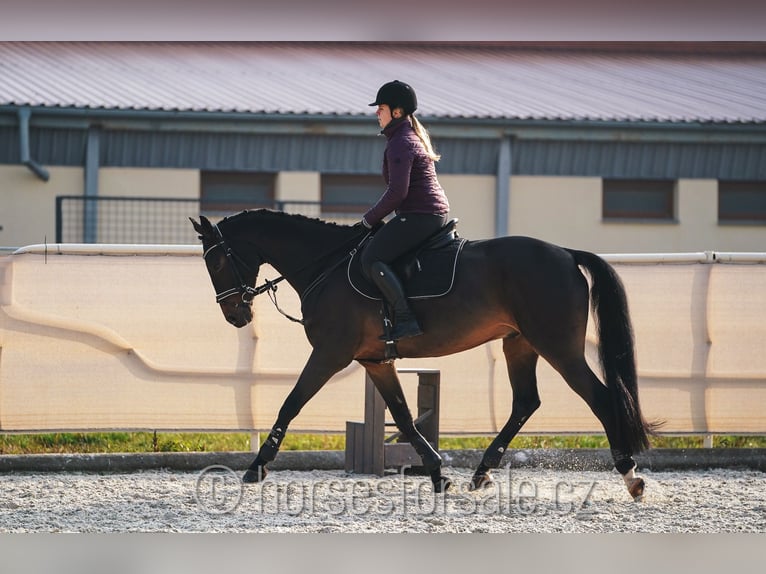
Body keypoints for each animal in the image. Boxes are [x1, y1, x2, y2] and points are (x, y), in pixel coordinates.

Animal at [190, 209, 656, 500]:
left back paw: (631, 476)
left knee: (600, 399)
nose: (235, 314)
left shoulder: (329, 354)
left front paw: (257, 466)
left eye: (216, 263)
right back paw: (481, 473)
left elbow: (291, 403)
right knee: (526, 401)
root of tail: (566, 254)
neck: (325, 266)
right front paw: (437, 473)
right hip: (519, 343)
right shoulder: (375, 361)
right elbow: (403, 417)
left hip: (557, 345)